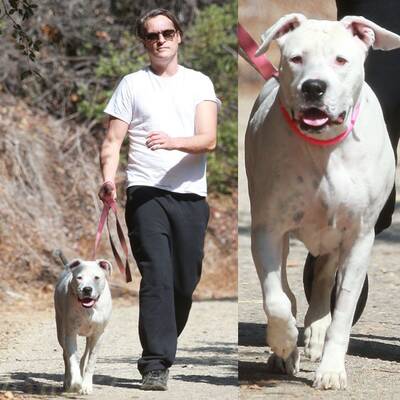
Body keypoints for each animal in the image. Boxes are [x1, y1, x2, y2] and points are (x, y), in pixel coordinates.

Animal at [54, 256, 111, 394]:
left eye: (96, 277)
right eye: (79, 277)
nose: (87, 289)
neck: (88, 308)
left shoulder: (98, 335)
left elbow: (91, 361)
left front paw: (86, 386)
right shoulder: (70, 333)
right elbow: (72, 357)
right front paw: (75, 383)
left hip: (90, 337)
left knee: (85, 355)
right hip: (60, 329)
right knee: (65, 355)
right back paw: (67, 381)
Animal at [245, 14, 400, 390]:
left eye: (340, 60)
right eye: (296, 58)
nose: (314, 87)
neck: (324, 147)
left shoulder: (359, 238)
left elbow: (343, 309)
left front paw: (331, 369)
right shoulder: (268, 230)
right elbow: (277, 299)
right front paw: (284, 342)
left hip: (335, 238)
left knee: (324, 278)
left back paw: (316, 330)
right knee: (290, 290)